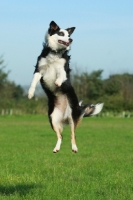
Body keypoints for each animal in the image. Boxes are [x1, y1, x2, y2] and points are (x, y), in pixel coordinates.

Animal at [27, 20, 103, 153]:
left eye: (68, 35)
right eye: (61, 34)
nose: (71, 39)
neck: (55, 52)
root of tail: (65, 117)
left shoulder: (62, 68)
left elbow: (61, 75)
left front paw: (57, 82)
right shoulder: (39, 70)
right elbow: (33, 81)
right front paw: (30, 93)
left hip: (72, 118)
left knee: (73, 135)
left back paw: (74, 148)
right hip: (52, 119)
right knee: (60, 136)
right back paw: (56, 148)